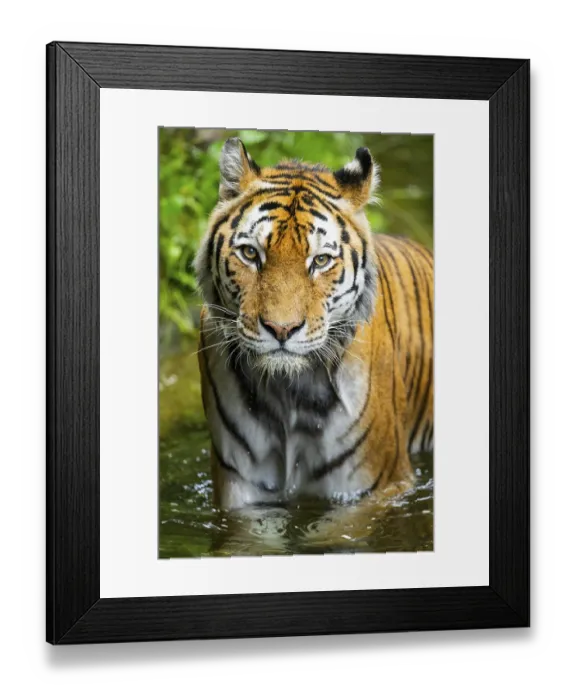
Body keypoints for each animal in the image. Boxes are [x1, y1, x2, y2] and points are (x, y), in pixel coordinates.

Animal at [194, 137, 433, 512]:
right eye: (250, 254)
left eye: (320, 260)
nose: (281, 329)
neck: (288, 394)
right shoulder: (242, 491)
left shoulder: (370, 490)